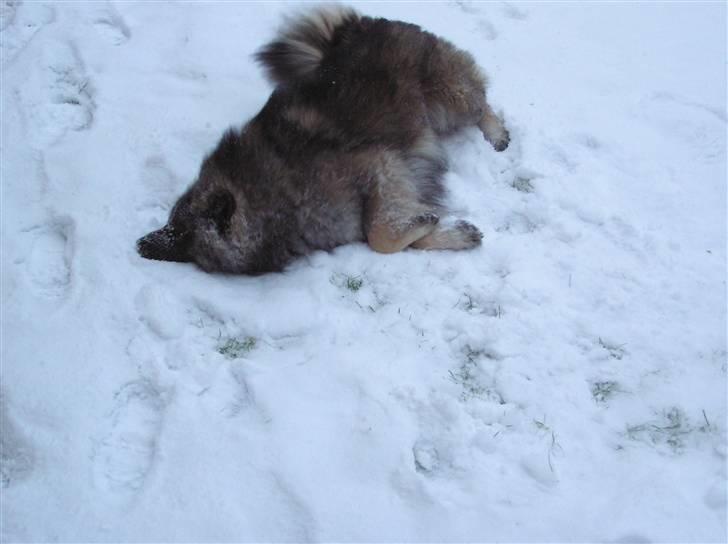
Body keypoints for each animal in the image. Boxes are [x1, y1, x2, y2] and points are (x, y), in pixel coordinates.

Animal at [139, 5, 510, 274]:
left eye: (181, 229)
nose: (150, 242)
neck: (269, 194)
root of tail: (352, 26)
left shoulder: (380, 163)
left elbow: (380, 235)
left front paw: (428, 223)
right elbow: (392, 236)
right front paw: (454, 232)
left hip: (447, 95)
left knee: (480, 103)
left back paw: (497, 135)